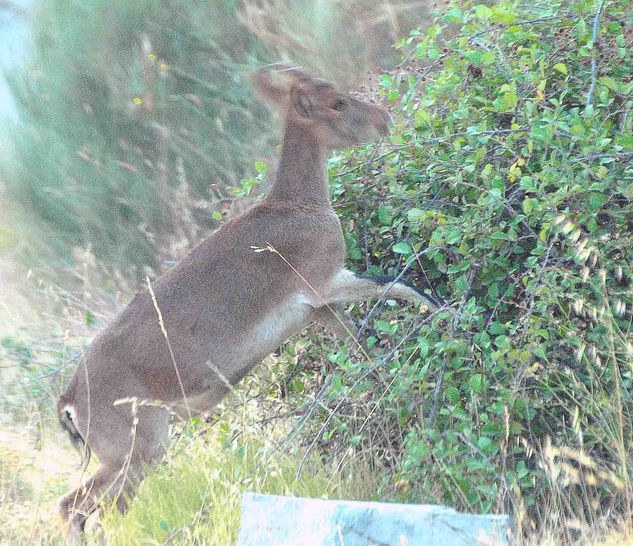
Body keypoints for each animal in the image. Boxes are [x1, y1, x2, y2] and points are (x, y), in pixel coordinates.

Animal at [56, 65, 442, 540]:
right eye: (336, 103)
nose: (383, 118)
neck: (296, 205)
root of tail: (71, 400)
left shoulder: (320, 310)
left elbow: (364, 348)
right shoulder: (326, 284)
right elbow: (400, 285)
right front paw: (450, 314)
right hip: (138, 450)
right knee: (76, 506)